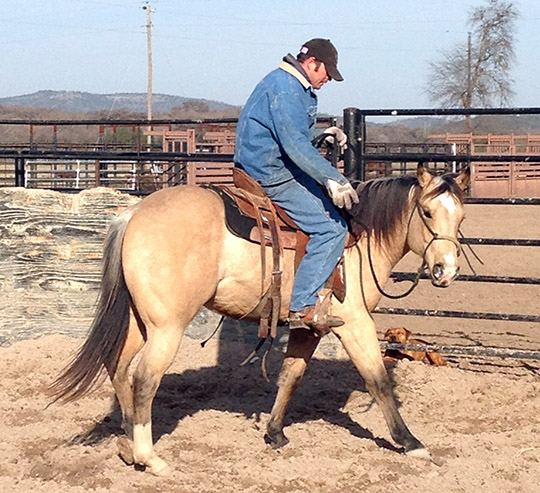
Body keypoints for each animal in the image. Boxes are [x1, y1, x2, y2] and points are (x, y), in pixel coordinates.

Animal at [51, 163, 472, 474]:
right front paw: (411, 443)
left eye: (462, 216)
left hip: (141, 321)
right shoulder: (355, 323)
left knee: (118, 366)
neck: (359, 237)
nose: (445, 271)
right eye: (427, 212)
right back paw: (149, 457)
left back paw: (126, 439)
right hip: (167, 327)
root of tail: (134, 212)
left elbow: (290, 376)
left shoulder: (310, 327)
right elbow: (378, 381)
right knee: (144, 379)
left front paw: (275, 433)